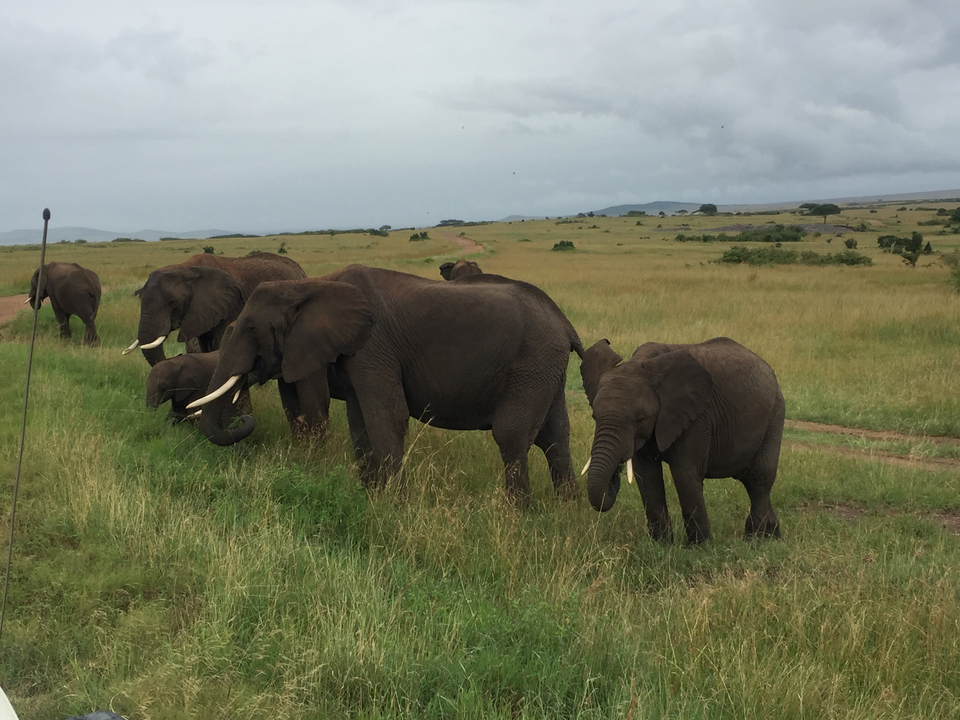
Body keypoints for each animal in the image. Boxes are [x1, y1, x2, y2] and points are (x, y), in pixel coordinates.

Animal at [190, 265, 583, 505]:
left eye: (251, 328)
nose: (245, 419)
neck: (311, 285)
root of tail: (565, 323)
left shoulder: (373, 344)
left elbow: (387, 416)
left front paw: (397, 507)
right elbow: (359, 422)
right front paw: (370, 497)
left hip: (533, 361)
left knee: (512, 434)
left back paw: (516, 515)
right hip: (545, 369)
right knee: (554, 437)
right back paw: (568, 512)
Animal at [580, 337, 784, 544]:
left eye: (640, 419)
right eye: (595, 416)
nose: (616, 473)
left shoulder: (697, 417)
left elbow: (684, 473)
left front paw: (698, 547)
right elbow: (646, 475)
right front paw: (661, 545)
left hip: (775, 415)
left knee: (759, 478)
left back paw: (755, 542)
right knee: (750, 480)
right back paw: (772, 537)